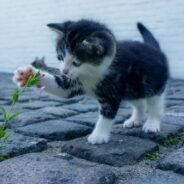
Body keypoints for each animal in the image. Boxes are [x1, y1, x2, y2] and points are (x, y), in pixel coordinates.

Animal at [12, 19, 169, 144]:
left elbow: (107, 114)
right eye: (60, 56)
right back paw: (135, 120)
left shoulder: (113, 90)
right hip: (132, 89)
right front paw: (28, 74)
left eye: (76, 62)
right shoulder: (73, 82)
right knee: (140, 103)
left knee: (155, 105)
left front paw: (98, 136)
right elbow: (60, 87)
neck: (93, 73)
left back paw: (152, 124)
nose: (63, 71)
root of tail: (156, 50)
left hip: (153, 84)